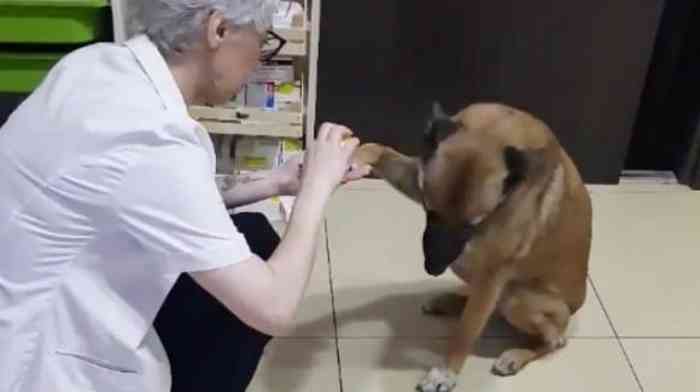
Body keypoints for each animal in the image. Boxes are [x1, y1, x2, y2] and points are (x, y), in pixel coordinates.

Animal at [356, 102, 592, 392]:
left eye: (472, 225)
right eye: (430, 212)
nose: (433, 268)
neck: (493, 130)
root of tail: (575, 307)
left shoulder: (492, 273)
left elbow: (466, 331)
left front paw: (446, 372)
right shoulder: (419, 177)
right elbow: (379, 149)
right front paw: (352, 153)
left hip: (516, 298)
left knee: (554, 340)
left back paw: (516, 355)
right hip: (468, 269)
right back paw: (450, 301)